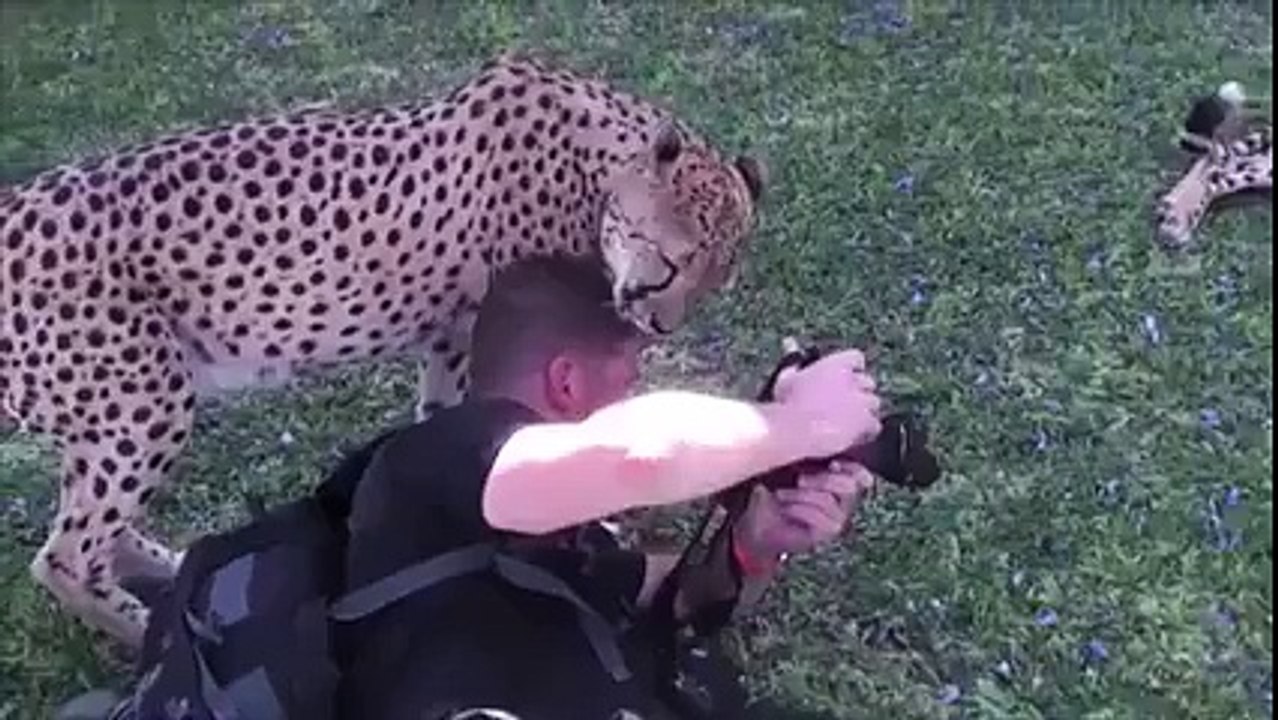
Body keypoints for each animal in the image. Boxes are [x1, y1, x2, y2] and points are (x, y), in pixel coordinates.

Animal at [0, 51, 766, 650]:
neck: (598, 168)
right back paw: (145, 633)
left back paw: (171, 565)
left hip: (104, 415)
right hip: (144, 406)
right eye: (669, 265)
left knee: (92, 527)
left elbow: (445, 420)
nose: (659, 324)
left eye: (712, 283)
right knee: (64, 557)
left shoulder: (453, 335)